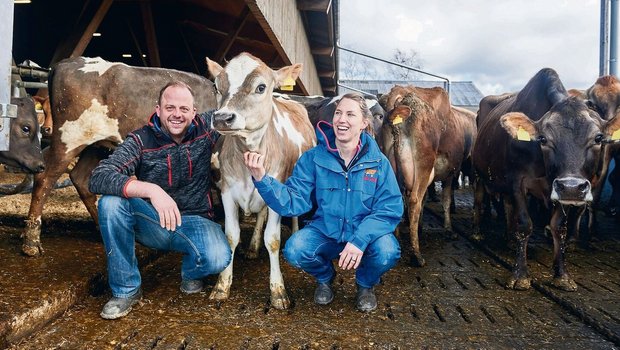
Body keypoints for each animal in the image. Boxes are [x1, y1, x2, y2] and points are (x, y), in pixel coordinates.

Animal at [21, 56, 217, 256]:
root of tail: (69, 61)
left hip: (97, 145)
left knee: (80, 177)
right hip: (69, 139)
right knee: (45, 179)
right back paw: (31, 242)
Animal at [207, 51, 318, 308]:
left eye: (261, 87)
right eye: (217, 86)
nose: (222, 118)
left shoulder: (278, 189)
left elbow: (273, 239)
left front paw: (278, 291)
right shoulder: (227, 191)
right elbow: (231, 235)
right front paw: (222, 284)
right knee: (260, 216)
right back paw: (253, 246)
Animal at [470, 67, 620, 290]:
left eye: (598, 138)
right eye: (543, 139)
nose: (572, 187)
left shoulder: (560, 189)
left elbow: (559, 227)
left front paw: (562, 275)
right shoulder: (518, 182)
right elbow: (525, 225)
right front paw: (520, 275)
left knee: (507, 206)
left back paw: (509, 239)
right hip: (479, 173)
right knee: (480, 200)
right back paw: (478, 232)